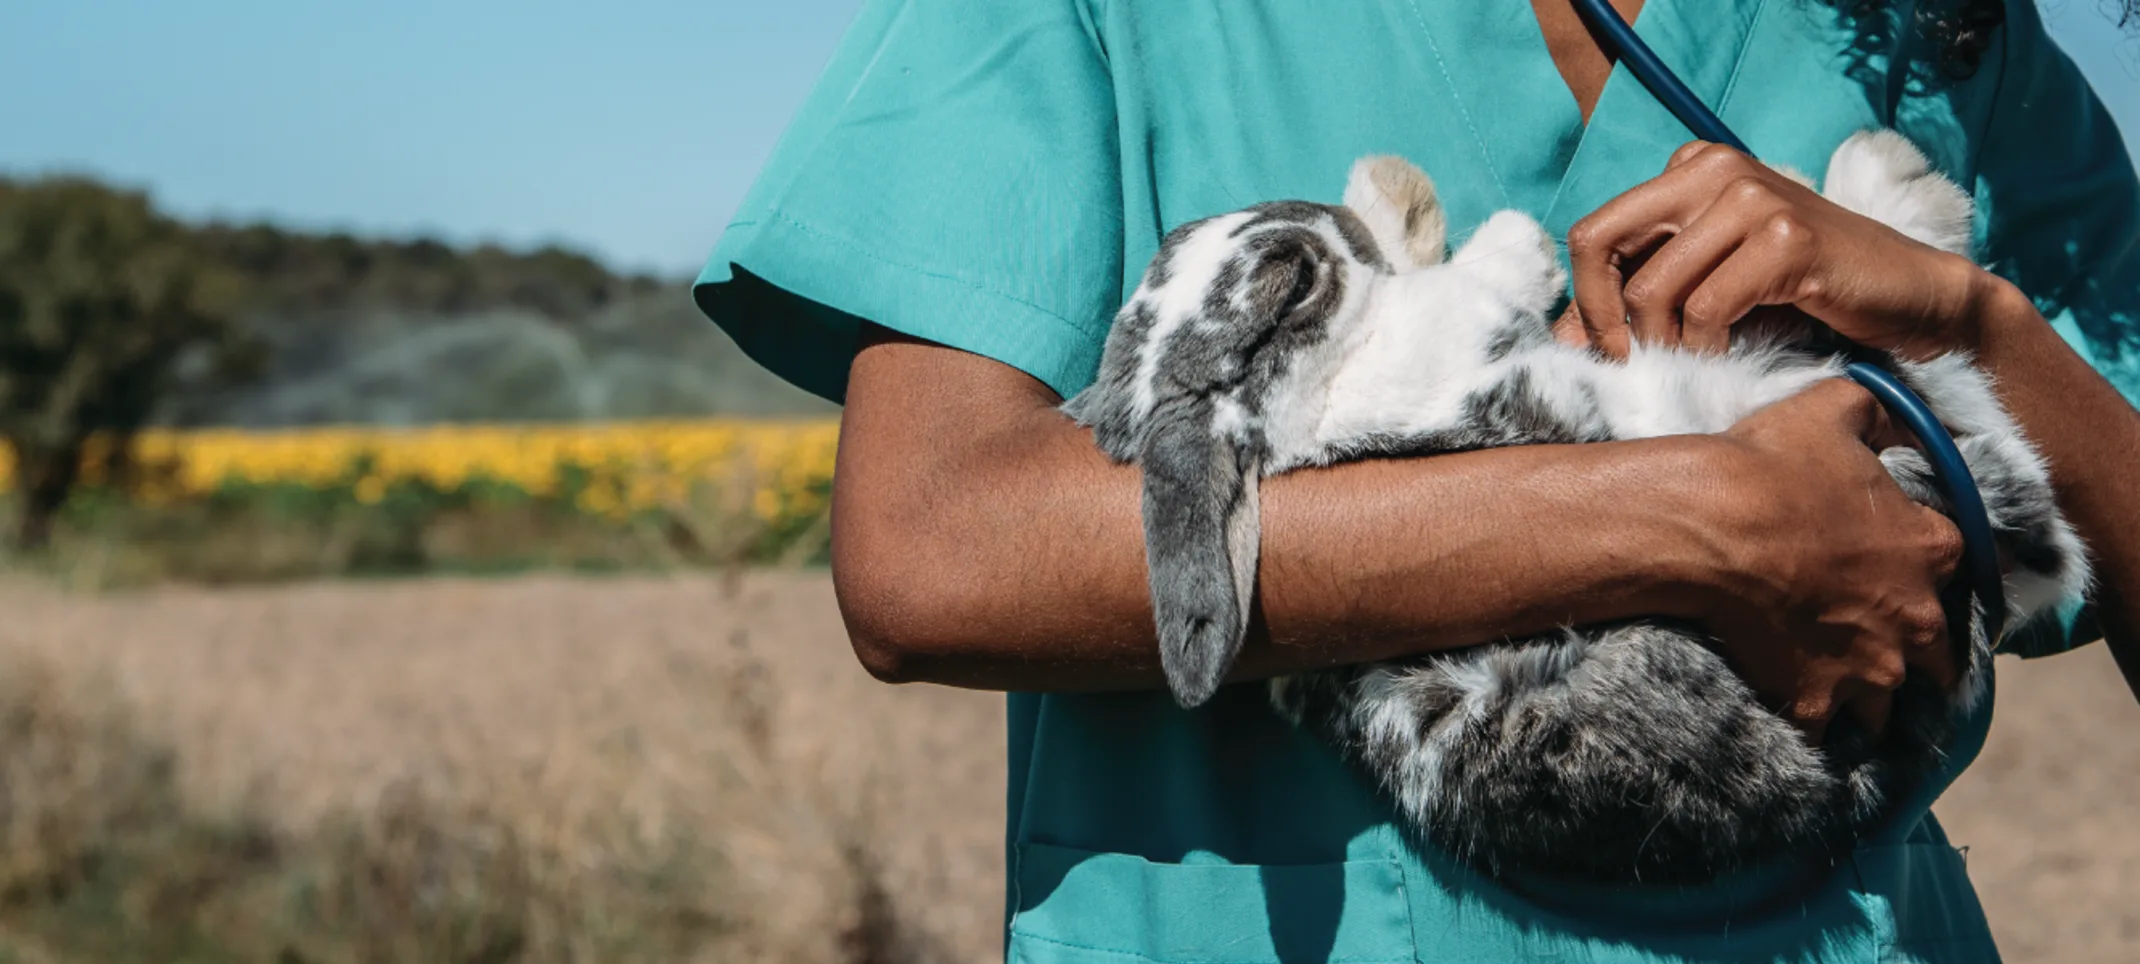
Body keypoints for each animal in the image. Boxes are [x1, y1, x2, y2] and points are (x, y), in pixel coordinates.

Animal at [1061, 131, 2097, 886]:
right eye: (1294, 279)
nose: (1331, 217)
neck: (1314, 410)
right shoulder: (1465, 341)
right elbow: (1475, 278)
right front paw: (1448, 213)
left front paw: (1393, 193)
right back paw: (1898, 176)